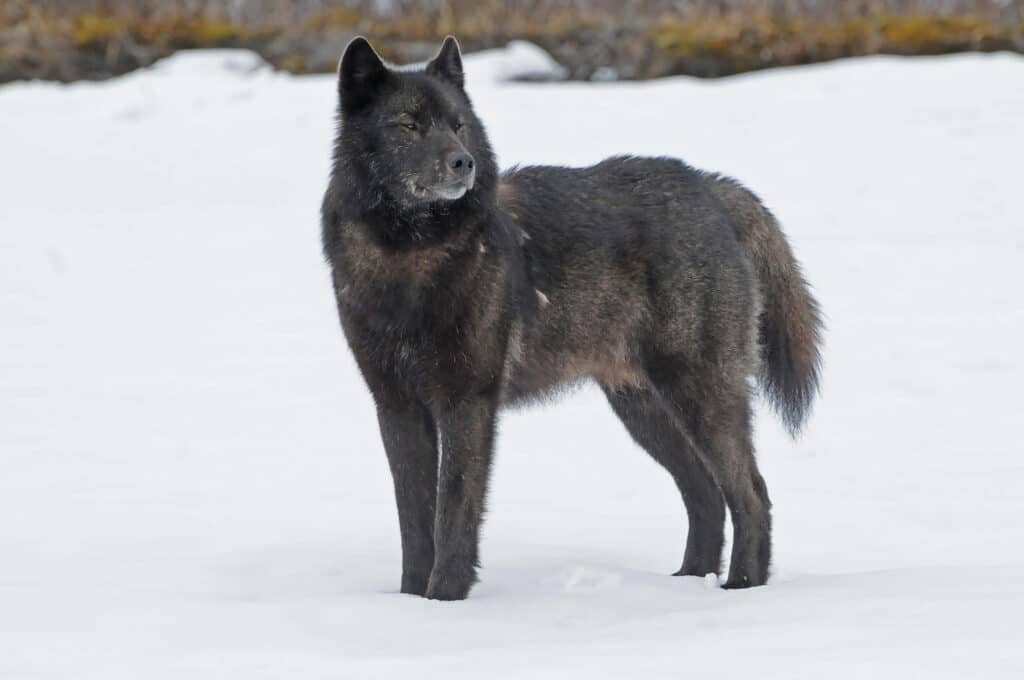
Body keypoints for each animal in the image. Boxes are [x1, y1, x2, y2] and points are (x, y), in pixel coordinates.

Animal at [321, 36, 822, 600]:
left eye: (458, 124)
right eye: (408, 125)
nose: (462, 163)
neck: (410, 258)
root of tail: (711, 186)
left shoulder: (467, 402)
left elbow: (452, 513)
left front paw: (445, 599)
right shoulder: (397, 406)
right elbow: (414, 520)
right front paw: (410, 603)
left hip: (698, 393)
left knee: (751, 493)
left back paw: (740, 588)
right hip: (642, 408)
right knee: (705, 494)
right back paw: (688, 584)